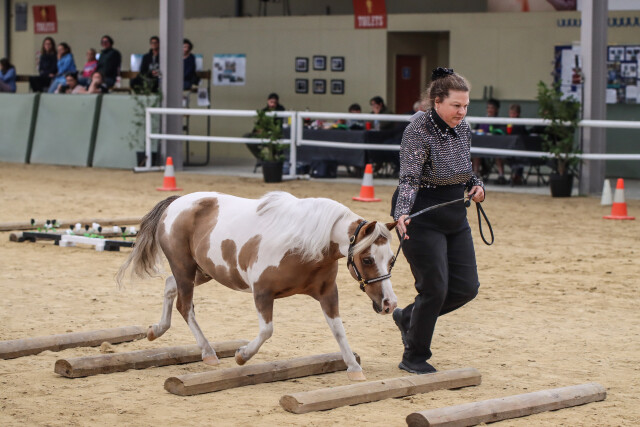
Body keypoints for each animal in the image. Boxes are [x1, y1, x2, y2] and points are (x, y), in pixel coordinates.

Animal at [117, 191, 398, 381]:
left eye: (391, 259)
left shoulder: (328, 293)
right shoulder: (262, 293)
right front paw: (242, 355)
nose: (389, 304)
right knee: (185, 306)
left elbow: (339, 330)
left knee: (169, 286)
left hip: (202, 271)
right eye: (367, 259)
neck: (305, 242)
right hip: (184, 268)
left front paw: (354, 368)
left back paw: (156, 330)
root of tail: (176, 203)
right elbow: (267, 330)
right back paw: (208, 353)